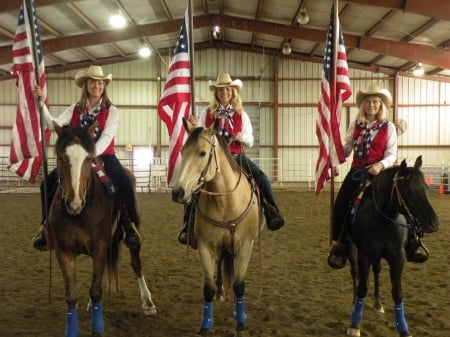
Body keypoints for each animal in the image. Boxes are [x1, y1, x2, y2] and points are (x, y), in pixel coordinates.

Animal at [49, 122, 156, 336]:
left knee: (135, 258)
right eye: (60, 157)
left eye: (89, 158)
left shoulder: (99, 247)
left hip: (128, 232)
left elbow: (96, 290)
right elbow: (71, 295)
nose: (74, 203)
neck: (81, 212)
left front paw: (97, 328)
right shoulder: (63, 252)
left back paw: (148, 302)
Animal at [172, 119, 264, 336]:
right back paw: (221, 292)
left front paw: (241, 324)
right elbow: (208, 288)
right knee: (221, 266)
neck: (226, 203)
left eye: (202, 153)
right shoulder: (205, 247)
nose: (178, 192)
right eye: (182, 151)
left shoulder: (245, 246)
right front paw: (205, 326)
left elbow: (239, 285)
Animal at [344, 157, 440, 336]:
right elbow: (362, 288)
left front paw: (403, 329)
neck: (383, 221)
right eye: (408, 191)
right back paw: (355, 304)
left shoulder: (397, 257)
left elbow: (397, 293)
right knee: (355, 274)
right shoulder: (364, 256)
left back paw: (378, 303)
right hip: (353, 250)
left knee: (376, 271)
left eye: (426, 187)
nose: (434, 223)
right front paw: (354, 325)